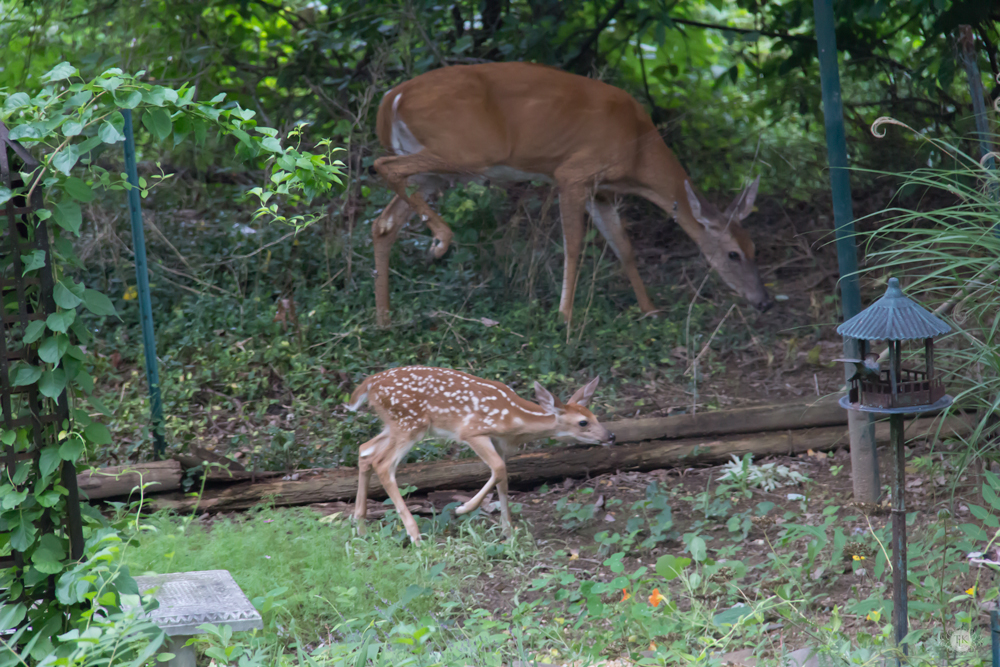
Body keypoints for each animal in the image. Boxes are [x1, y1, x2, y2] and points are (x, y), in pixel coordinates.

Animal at [344, 368, 612, 544]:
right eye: (583, 422)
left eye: (595, 415)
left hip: (394, 425)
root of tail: (369, 384)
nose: (610, 436)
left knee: (365, 451)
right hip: (409, 424)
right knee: (383, 464)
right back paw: (415, 535)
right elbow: (498, 468)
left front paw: (508, 532)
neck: (513, 418)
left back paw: (360, 527)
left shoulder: (499, 443)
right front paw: (463, 508)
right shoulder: (472, 432)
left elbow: (504, 479)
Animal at [372, 60, 768, 326]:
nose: (761, 300)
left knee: (383, 222)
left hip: (435, 173)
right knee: (383, 165)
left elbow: (624, 247)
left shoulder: (601, 191)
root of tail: (391, 98)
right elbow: (574, 246)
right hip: (464, 152)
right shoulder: (572, 174)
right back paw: (440, 240)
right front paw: (564, 316)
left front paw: (651, 310)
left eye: (754, 249)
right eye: (733, 254)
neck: (638, 151)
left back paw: (384, 318)